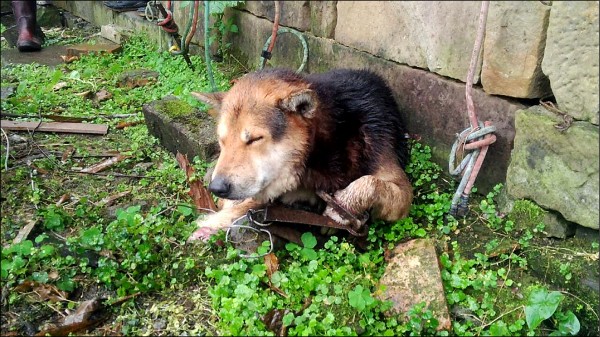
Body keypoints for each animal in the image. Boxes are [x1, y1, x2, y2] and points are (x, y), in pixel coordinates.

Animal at [188, 68, 412, 240]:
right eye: (222, 140)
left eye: (255, 139)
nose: (216, 188)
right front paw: (214, 222)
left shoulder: (399, 184)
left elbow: (369, 183)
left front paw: (339, 211)